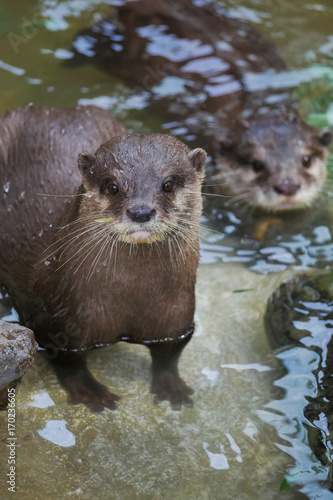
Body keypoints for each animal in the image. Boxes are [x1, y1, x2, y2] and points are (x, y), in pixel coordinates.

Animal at [0, 104, 206, 410]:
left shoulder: (178, 319)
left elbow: (169, 355)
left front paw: (172, 387)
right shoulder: (58, 324)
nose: (141, 211)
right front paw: (92, 393)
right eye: (113, 187)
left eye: (168, 184)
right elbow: (69, 364)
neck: (133, 298)